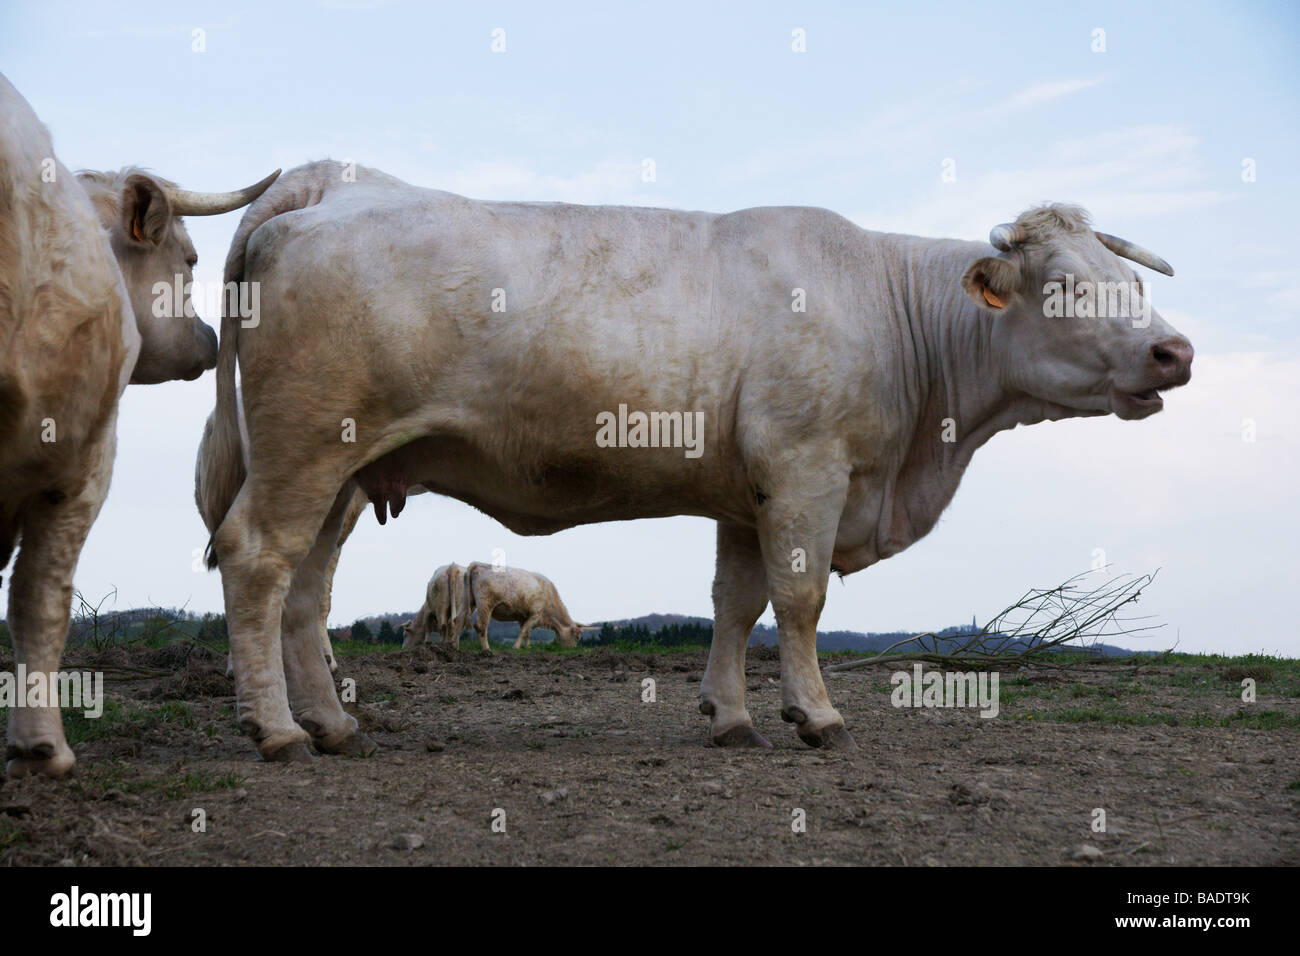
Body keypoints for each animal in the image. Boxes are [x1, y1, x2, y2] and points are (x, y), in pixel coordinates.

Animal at [195, 162, 1190, 764]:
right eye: (1065, 286)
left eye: (1133, 283)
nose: (1174, 351)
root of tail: (329, 186)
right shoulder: (807, 469)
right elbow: (799, 600)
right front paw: (816, 715)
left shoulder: (749, 494)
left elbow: (734, 603)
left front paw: (732, 715)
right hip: (304, 448)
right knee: (257, 560)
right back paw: (276, 731)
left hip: (344, 473)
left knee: (308, 588)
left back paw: (332, 724)